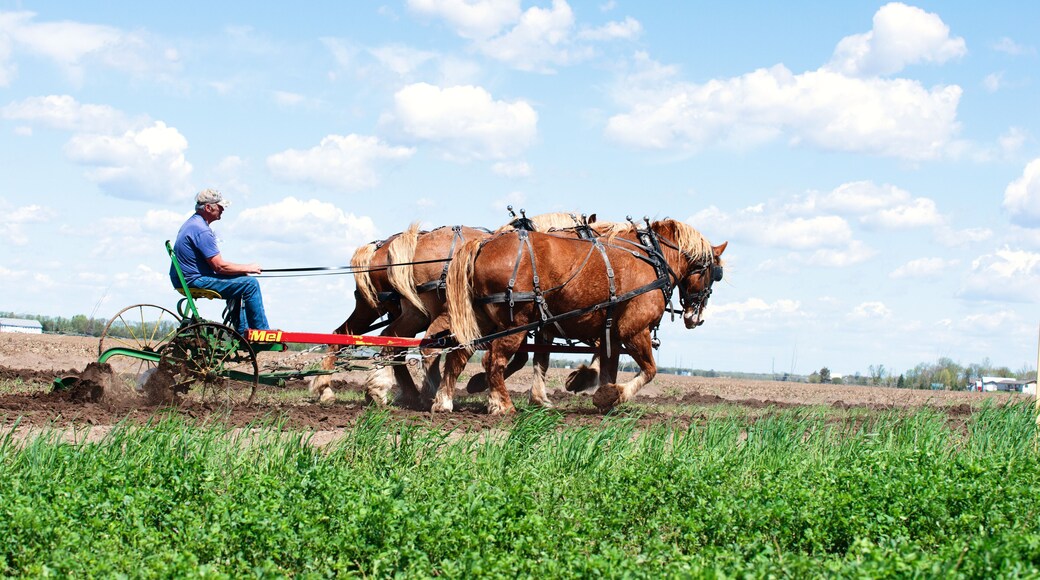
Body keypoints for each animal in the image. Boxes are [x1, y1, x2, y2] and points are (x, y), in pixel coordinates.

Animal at [446, 219, 726, 414]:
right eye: (715, 273)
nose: (696, 317)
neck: (652, 258)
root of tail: (483, 245)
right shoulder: (634, 330)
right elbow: (650, 370)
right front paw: (612, 395)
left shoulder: (609, 334)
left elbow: (606, 368)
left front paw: (602, 396)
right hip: (516, 323)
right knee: (494, 360)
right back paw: (502, 405)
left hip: (480, 321)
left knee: (460, 353)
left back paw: (446, 400)